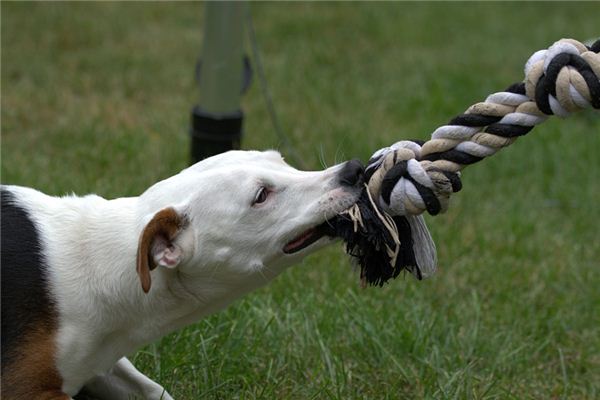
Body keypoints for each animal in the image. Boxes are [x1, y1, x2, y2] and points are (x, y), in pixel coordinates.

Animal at [1, 151, 360, 400]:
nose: (354, 170)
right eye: (261, 196)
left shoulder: (101, 364)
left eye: (283, 161)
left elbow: (152, 390)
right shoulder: (24, 388)